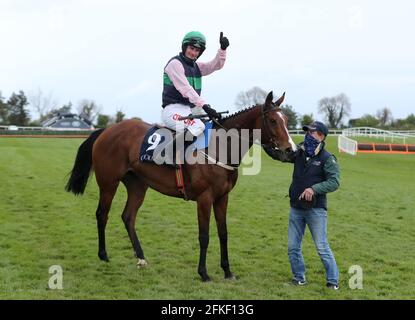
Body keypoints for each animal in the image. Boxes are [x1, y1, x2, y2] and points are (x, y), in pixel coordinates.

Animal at [65, 90, 296, 280]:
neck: (219, 147)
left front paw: (227, 271)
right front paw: (203, 273)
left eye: (286, 120)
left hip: (138, 185)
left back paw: (141, 257)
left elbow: (223, 233)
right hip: (108, 183)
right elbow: (204, 235)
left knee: (128, 217)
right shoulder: (204, 198)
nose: (291, 150)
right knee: (102, 214)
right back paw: (103, 254)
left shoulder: (223, 197)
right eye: (273, 121)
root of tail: (106, 130)